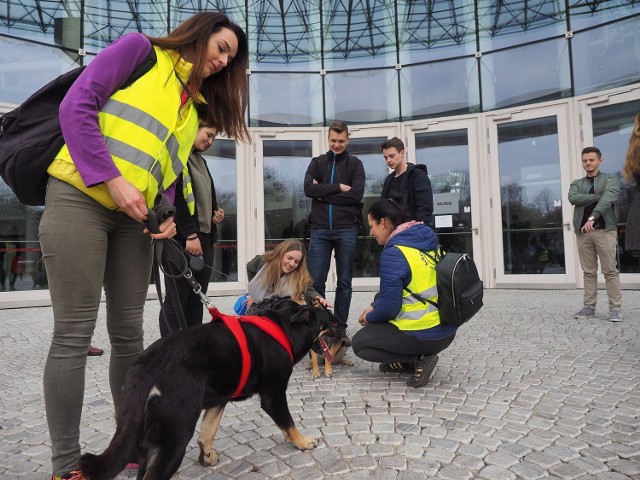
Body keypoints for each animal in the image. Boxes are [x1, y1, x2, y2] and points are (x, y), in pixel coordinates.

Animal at [77, 300, 340, 480]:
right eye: (330, 320)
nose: (343, 331)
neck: (284, 327)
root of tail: (146, 366)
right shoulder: (274, 396)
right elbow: (289, 423)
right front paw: (302, 442)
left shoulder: (217, 400)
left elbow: (208, 432)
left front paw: (207, 456)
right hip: (175, 438)